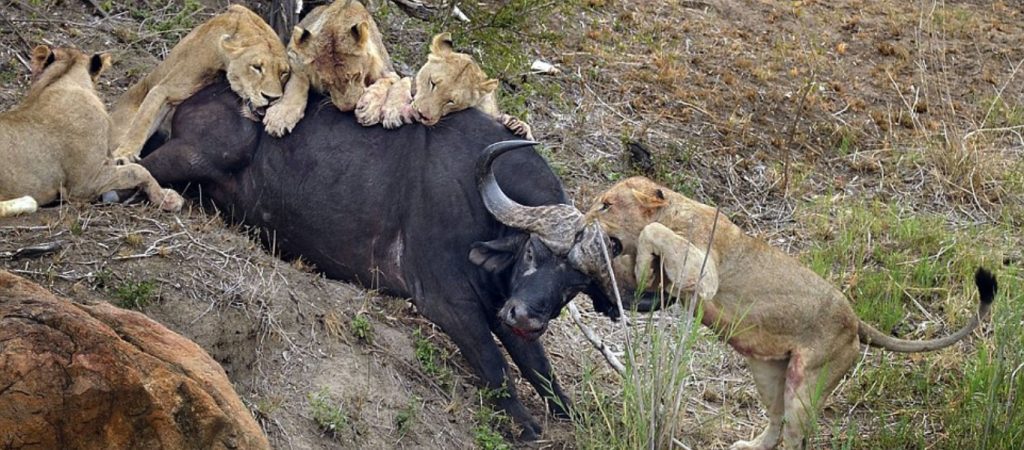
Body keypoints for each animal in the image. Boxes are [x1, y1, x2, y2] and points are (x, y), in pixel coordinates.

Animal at [109, 4, 288, 159]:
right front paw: (125, 154)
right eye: (257, 67)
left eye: (283, 73)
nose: (272, 98)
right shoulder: (165, 89)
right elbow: (143, 120)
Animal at [142, 80, 622, 440]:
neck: (481, 205)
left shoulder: (506, 308)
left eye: (576, 284)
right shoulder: (446, 301)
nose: (527, 316)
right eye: (533, 250)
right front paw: (523, 424)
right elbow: (494, 364)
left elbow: (543, 373)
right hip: (202, 152)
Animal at [262, 0, 409, 137]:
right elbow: (297, 82)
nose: (347, 108)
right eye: (326, 83)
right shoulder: (294, 57)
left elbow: (386, 82)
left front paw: (368, 107)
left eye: (356, 76)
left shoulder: (388, 70)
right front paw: (280, 116)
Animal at [589, 177, 995, 450]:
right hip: (768, 374)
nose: (584, 218)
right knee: (776, 420)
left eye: (606, 204)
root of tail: (855, 320)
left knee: (796, 435)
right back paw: (752, 445)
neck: (675, 208)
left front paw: (641, 261)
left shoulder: (703, 271)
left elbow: (654, 232)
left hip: (808, 381)